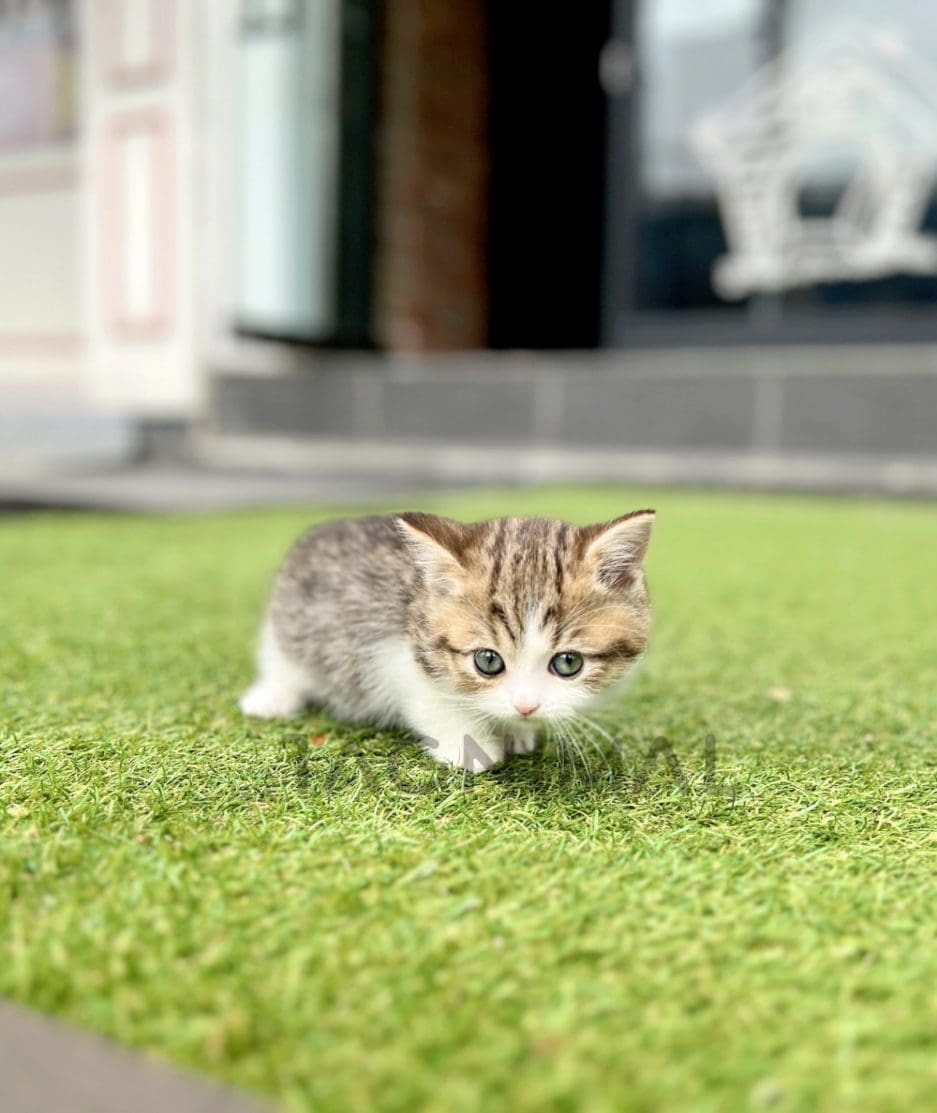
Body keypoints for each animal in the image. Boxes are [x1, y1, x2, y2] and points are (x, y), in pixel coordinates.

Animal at [237, 509, 654, 770]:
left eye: (568, 663)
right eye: (488, 661)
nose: (525, 707)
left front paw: (517, 730)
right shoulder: (390, 654)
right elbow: (432, 700)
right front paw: (473, 746)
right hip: (290, 627)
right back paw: (271, 697)